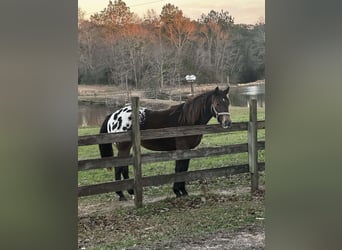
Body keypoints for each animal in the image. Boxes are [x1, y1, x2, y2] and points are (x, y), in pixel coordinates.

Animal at [99, 87, 232, 200]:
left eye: (227, 103)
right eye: (217, 103)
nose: (227, 122)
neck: (187, 120)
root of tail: (112, 115)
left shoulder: (188, 150)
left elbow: (184, 169)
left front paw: (183, 191)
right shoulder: (181, 149)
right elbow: (179, 168)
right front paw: (178, 191)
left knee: (123, 168)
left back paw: (130, 192)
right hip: (123, 147)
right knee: (119, 168)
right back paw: (121, 194)